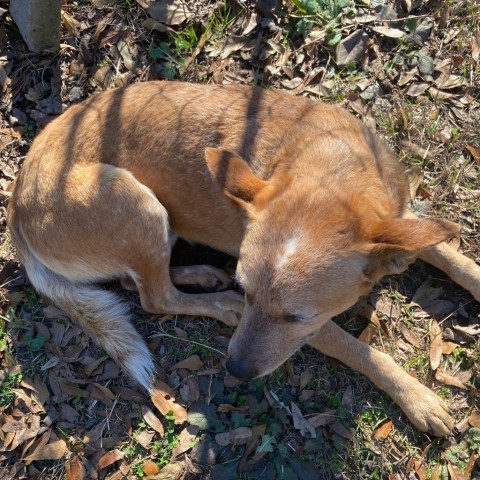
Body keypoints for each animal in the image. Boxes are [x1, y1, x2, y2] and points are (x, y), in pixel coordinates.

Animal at [8, 81, 480, 436]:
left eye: (295, 315)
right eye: (248, 290)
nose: (233, 369)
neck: (333, 171)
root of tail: (14, 204)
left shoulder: (399, 222)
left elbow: (453, 256)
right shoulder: (318, 328)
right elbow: (361, 351)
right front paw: (417, 398)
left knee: (133, 282)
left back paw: (201, 276)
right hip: (136, 203)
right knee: (154, 297)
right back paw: (218, 300)